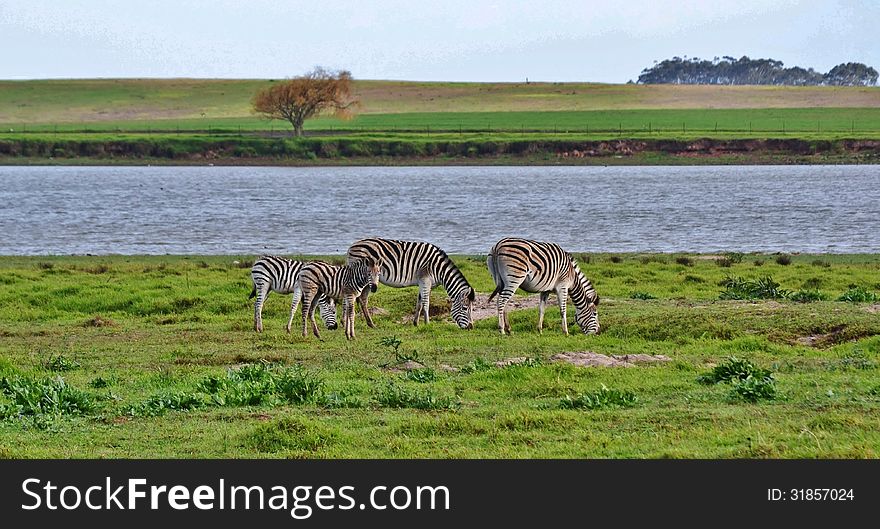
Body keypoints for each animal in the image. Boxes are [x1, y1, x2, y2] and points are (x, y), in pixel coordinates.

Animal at [348, 237, 478, 328]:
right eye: (465, 308)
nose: (471, 327)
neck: (439, 269)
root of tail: (352, 245)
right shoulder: (425, 280)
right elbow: (426, 302)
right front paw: (427, 323)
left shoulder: (422, 282)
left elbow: (419, 302)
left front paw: (416, 323)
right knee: (359, 298)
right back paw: (367, 323)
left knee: (362, 299)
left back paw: (370, 324)